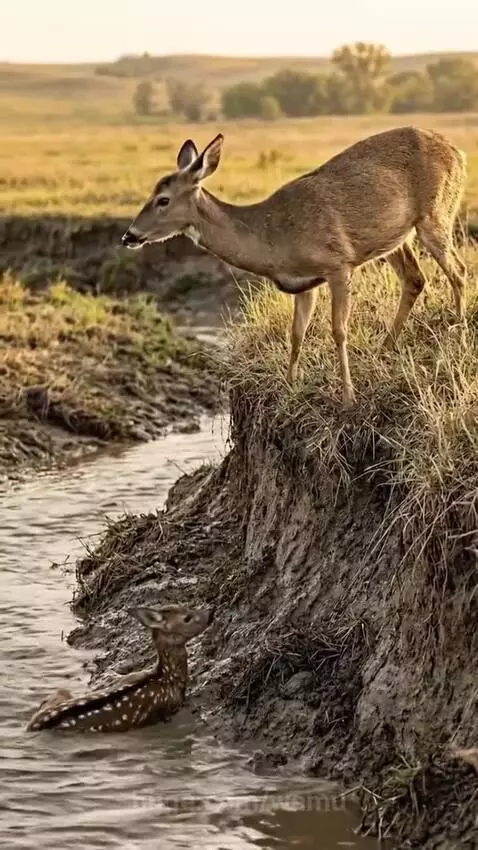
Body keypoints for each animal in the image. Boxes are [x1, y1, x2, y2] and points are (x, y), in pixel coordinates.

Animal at [27, 603, 213, 733]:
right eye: (187, 618)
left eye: (188, 607)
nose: (210, 613)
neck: (166, 678)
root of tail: (32, 727)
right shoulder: (166, 711)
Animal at [121, 126, 467, 406]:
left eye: (163, 199)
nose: (129, 235)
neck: (273, 236)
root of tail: (459, 153)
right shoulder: (303, 284)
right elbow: (297, 334)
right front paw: (289, 388)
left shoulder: (338, 264)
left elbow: (338, 330)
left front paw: (348, 397)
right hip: (396, 238)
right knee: (415, 279)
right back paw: (383, 350)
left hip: (435, 214)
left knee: (459, 272)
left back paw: (457, 337)